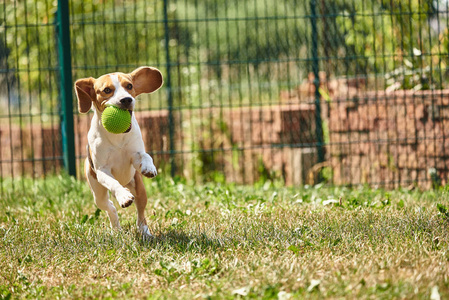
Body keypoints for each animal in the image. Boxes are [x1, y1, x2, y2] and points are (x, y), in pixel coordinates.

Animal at [73, 67, 163, 238]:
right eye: (107, 90)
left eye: (129, 86)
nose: (126, 99)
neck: (117, 136)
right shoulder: (102, 171)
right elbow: (113, 183)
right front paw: (124, 196)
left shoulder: (135, 156)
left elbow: (145, 155)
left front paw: (149, 167)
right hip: (97, 193)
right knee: (110, 206)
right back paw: (116, 227)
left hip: (139, 187)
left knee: (141, 214)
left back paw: (145, 232)